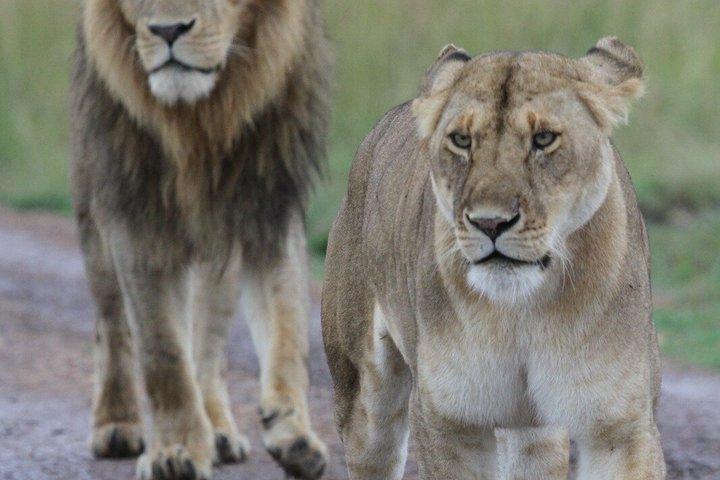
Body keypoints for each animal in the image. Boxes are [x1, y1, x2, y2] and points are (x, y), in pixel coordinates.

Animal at [70, 1, 330, 479]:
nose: (169, 30)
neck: (198, 121)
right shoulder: (136, 223)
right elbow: (164, 354)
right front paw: (174, 451)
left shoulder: (268, 212)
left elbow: (288, 333)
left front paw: (294, 434)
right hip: (93, 219)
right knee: (111, 324)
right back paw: (117, 425)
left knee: (208, 343)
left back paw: (220, 432)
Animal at [322, 38, 665, 479]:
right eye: (461, 140)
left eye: (544, 138)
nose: (490, 222)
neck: (523, 310)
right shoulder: (449, 419)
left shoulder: (621, 425)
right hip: (363, 398)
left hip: (533, 428)